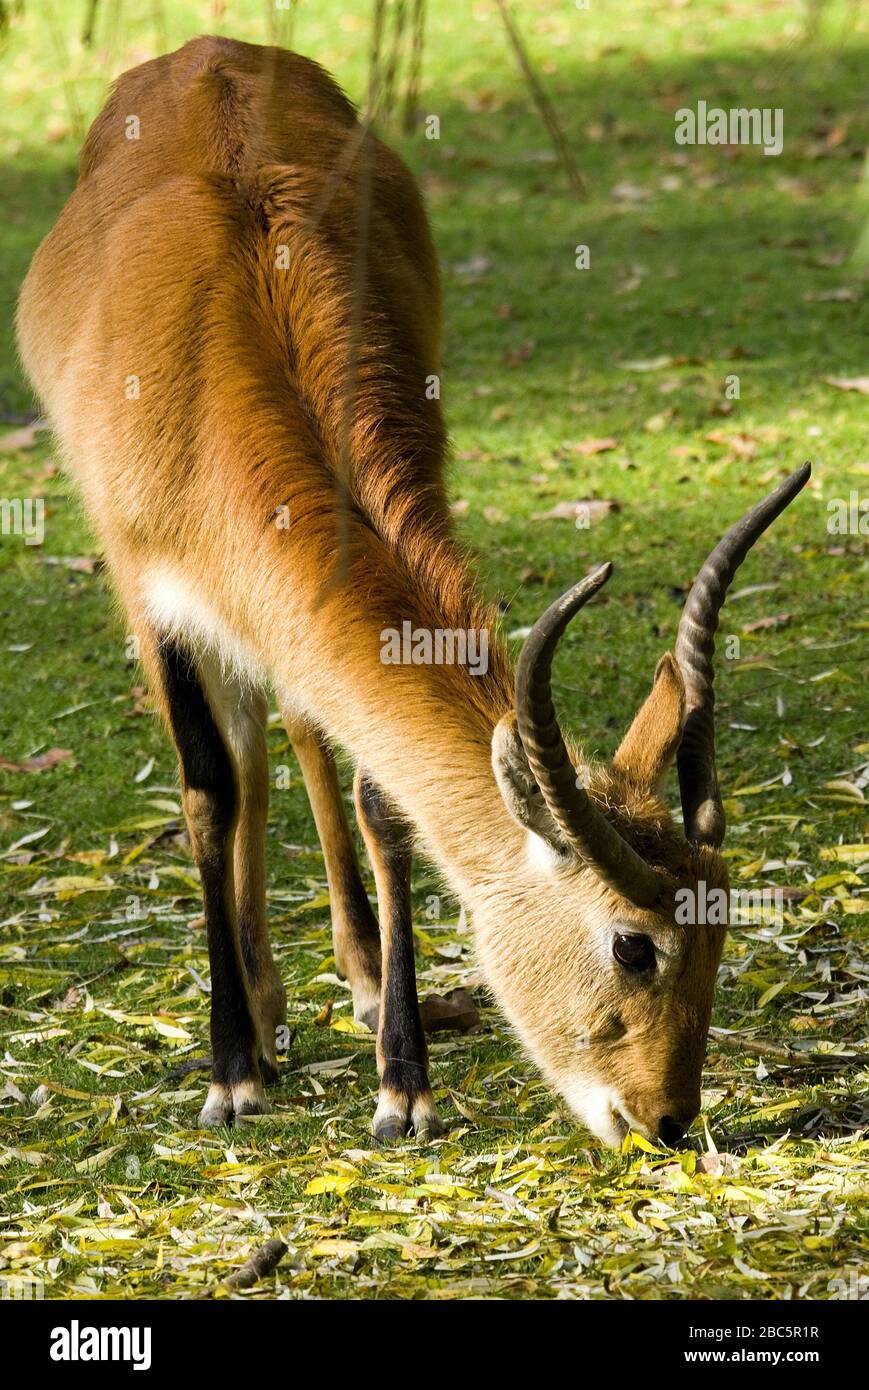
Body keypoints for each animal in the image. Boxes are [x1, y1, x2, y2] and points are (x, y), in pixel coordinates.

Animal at [16, 38, 811, 1145]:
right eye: (633, 942)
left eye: (720, 928)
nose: (664, 1118)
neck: (225, 354)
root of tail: (208, 50)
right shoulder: (150, 595)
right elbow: (207, 791)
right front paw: (231, 1071)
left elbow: (378, 802)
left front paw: (403, 1085)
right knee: (241, 758)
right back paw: (259, 1018)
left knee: (297, 731)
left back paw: (342, 982)